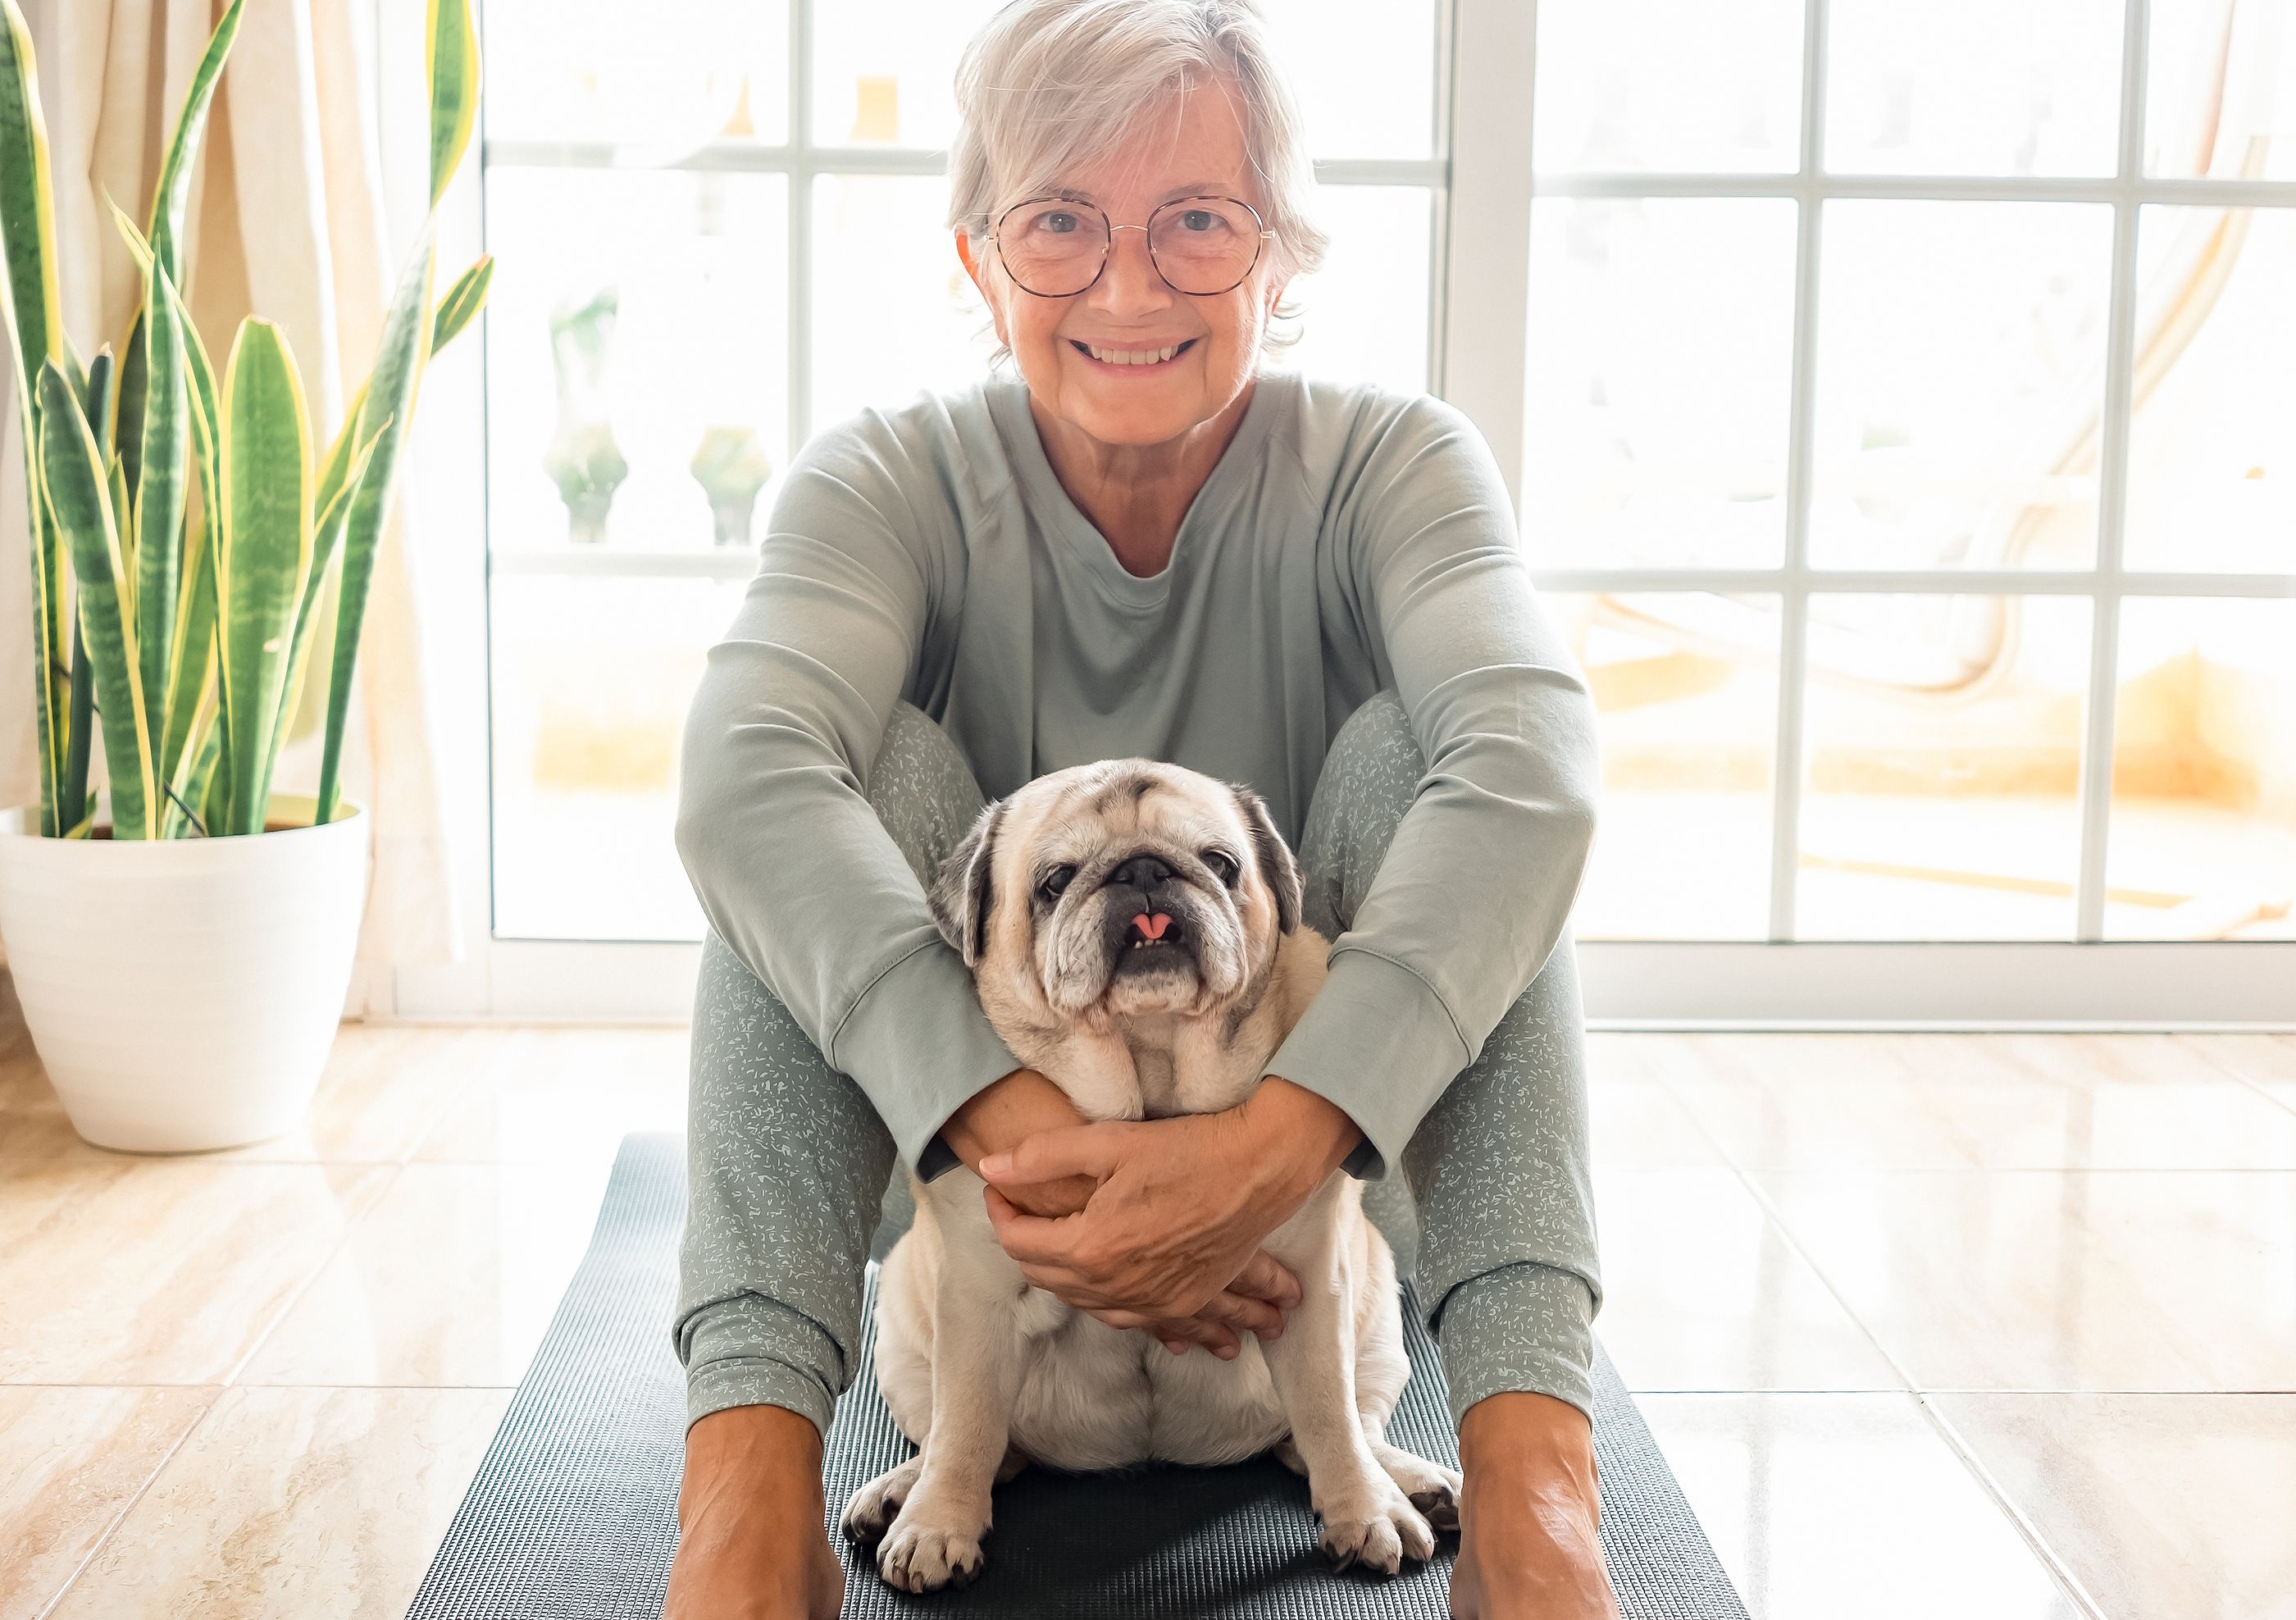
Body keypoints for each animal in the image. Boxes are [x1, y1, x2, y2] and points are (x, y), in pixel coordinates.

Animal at [840, 758, 1451, 1590]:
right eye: (1055, 881)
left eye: (1222, 864)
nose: (1143, 869)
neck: (1152, 1066)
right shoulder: (976, 1298)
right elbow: (965, 1425)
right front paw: (939, 1524)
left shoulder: (1312, 1289)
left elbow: (1328, 1410)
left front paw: (1365, 1506)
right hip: (903, 1338)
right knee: (972, 1441)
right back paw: (903, 1492)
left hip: (1379, 1324)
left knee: (1338, 1426)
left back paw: (1405, 1481)